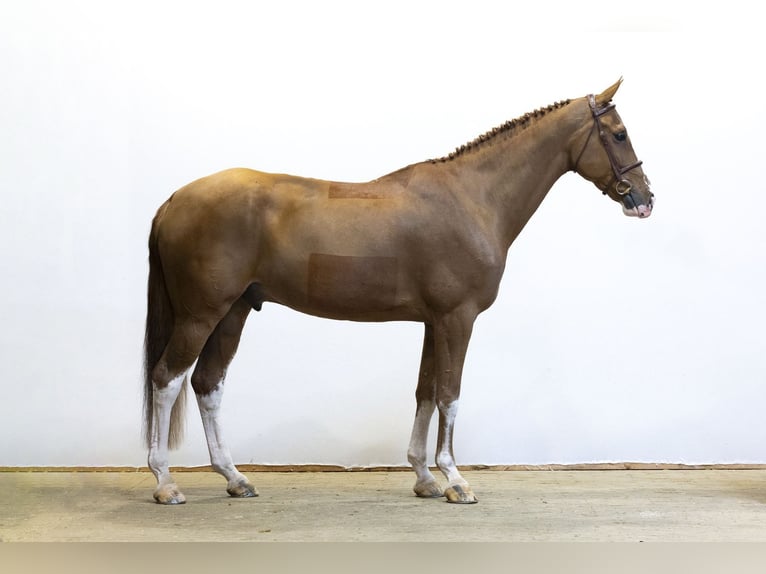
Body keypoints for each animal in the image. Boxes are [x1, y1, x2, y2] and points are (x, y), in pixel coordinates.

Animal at [143, 79, 653, 505]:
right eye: (619, 133)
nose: (644, 199)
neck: (472, 199)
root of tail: (172, 200)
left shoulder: (433, 321)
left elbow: (425, 392)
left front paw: (424, 479)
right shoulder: (457, 319)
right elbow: (450, 394)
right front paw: (455, 481)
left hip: (234, 312)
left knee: (208, 384)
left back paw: (235, 478)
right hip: (201, 314)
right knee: (167, 379)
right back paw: (166, 483)